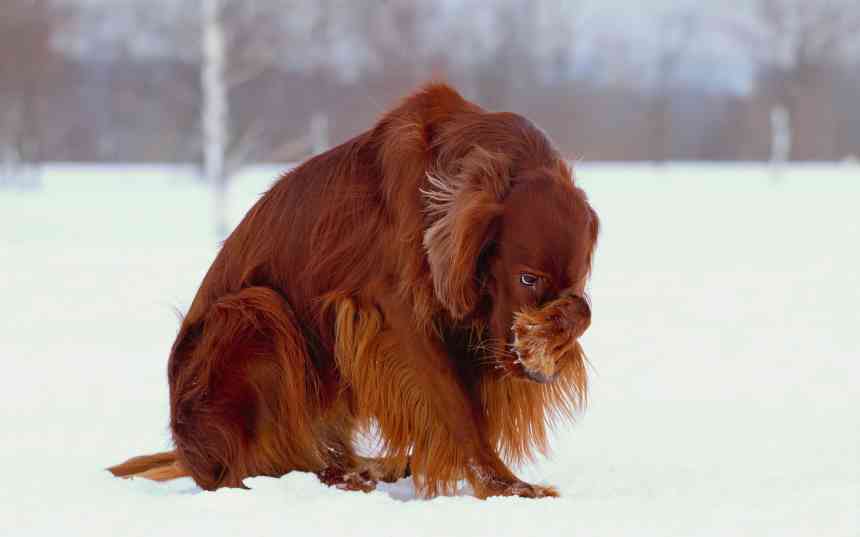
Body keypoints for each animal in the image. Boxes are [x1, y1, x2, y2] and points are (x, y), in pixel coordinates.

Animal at [109, 84, 596, 498]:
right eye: (527, 278)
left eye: (572, 282)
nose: (532, 374)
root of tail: (188, 450)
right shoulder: (398, 315)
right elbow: (456, 409)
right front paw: (504, 486)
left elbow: (581, 313)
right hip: (255, 310)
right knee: (247, 471)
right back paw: (341, 477)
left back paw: (373, 465)